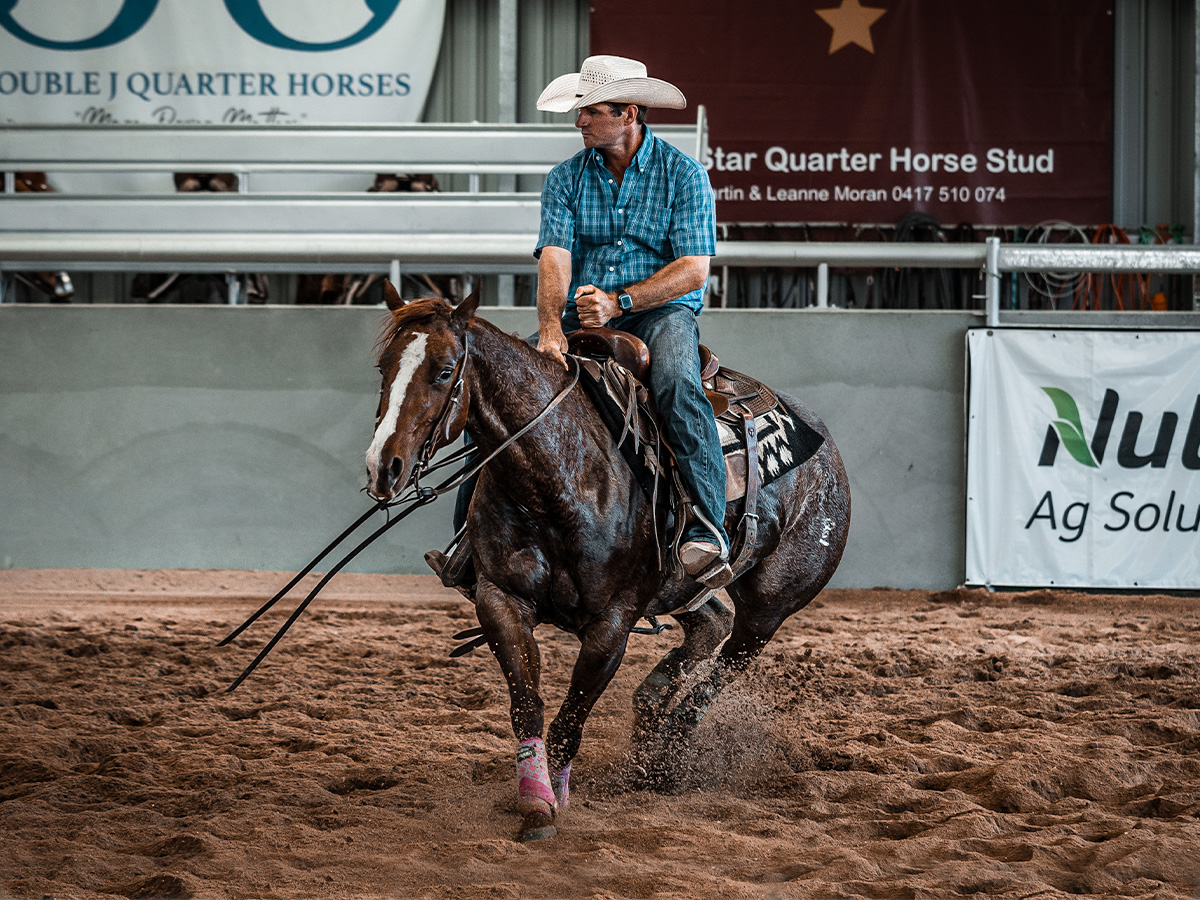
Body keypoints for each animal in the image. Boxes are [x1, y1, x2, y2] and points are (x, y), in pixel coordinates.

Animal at [369, 283, 849, 844]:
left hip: (772, 605)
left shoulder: (612, 624)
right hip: (683, 589)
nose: (382, 467)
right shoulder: (500, 599)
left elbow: (570, 721)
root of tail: (826, 449)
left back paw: (666, 756)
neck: (558, 477)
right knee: (710, 624)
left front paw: (556, 798)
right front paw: (536, 802)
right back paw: (651, 715)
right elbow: (528, 705)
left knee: (725, 665)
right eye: (384, 367)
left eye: (445, 370)